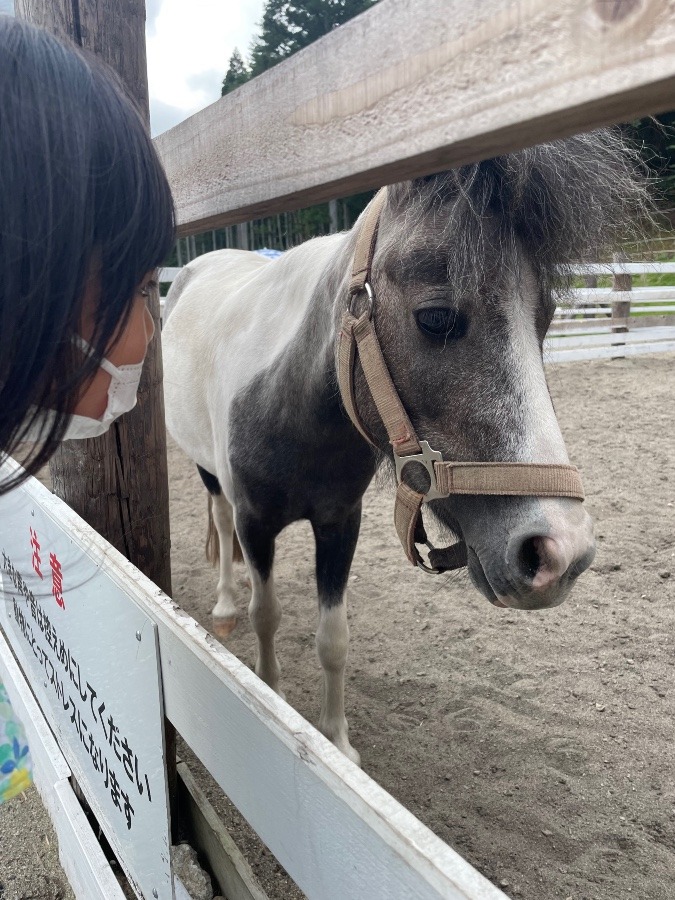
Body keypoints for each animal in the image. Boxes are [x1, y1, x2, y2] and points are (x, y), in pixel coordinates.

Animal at [162, 130, 648, 764]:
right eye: (436, 317)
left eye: (545, 318)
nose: (560, 553)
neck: (290, 405)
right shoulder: (256, 523)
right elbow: (265, 615)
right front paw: (272, 697)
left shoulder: (339, 524)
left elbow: (334, 637)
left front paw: (338, 743)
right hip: (210, 476)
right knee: (219, 523)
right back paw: (221, 607)